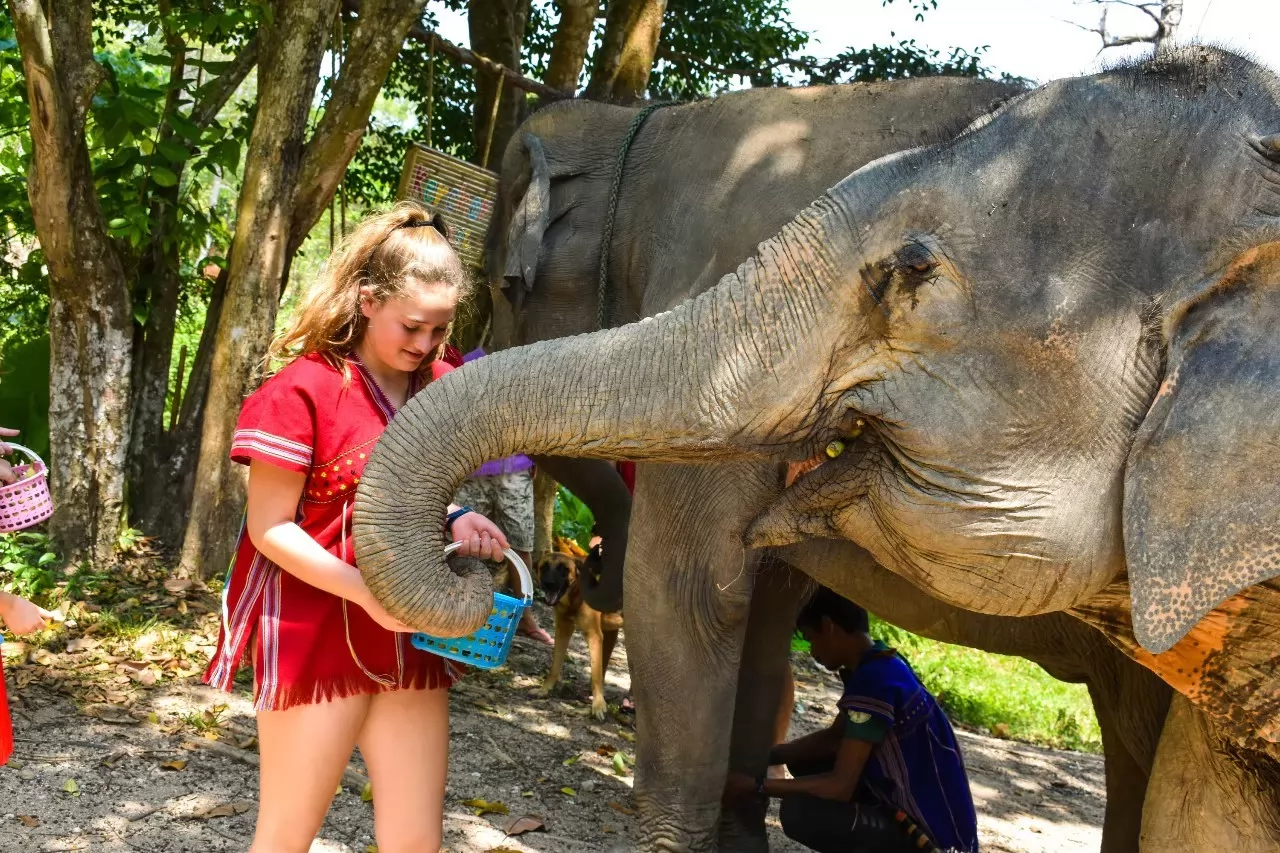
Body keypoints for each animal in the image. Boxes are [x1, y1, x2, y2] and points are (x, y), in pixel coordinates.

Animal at [355, 47, 1280, 851]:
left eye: (504, 289)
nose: (566, 576)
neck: (641, 128)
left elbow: (690, 589)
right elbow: (757, 605)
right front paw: (735, 836)